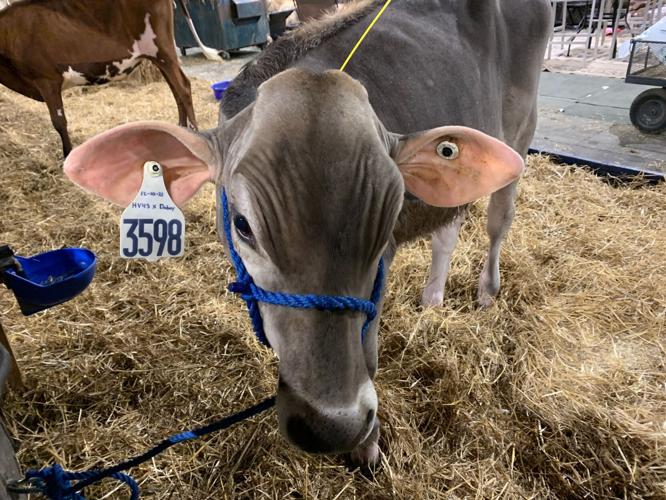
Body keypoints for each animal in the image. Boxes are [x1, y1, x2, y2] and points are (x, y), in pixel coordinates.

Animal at [0, 0, 218, 158]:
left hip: (162, 49)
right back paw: (179, 130)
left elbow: (59, 122)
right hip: (158, 55)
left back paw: (194, 137)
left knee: (183, 87)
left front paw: (67, 155)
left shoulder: (46, 80)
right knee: (175, 90)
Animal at [63, 0, 552, 470]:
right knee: (447, 230)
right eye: (243, 225)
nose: (332, 427)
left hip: (522, 128)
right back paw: (432, 298)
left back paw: (487, 291)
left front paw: (367, 448)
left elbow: (368, 353)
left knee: (498, 219)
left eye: (387, 220)